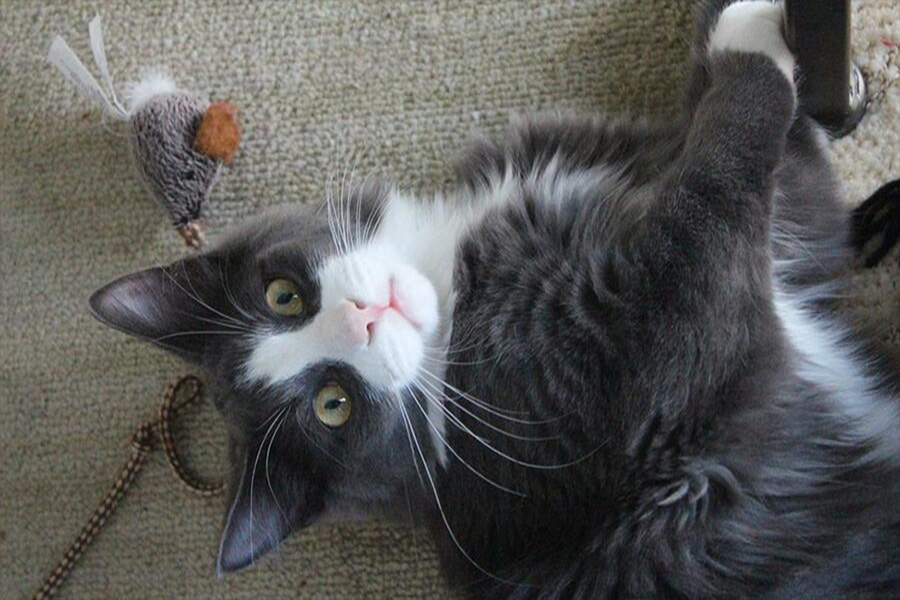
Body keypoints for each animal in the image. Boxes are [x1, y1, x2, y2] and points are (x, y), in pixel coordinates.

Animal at [89, 2, 900, 596]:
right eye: (333, 405)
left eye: (283, 295)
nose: (364, 316)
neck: (454, 277)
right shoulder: (656, 350)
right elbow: (726, 161)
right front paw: (757, 41)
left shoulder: (782, 225)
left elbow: (783, 163)